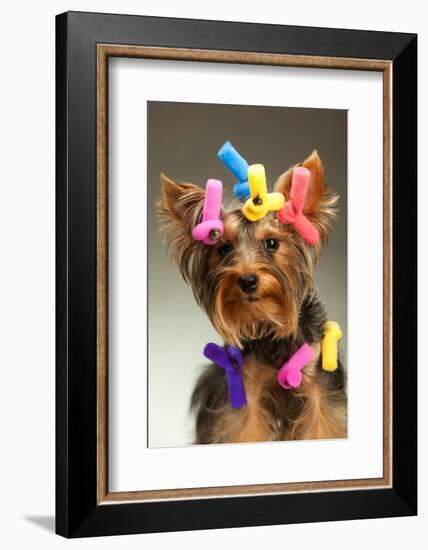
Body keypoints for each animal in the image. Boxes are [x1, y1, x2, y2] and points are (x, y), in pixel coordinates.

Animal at [157, 150, 348, 444]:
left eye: (271, 243)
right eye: (224, 249)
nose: (247, 280)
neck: (270, 322)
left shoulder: (319, 385)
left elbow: (321, 423)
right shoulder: (247, 386)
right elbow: (245, 428)